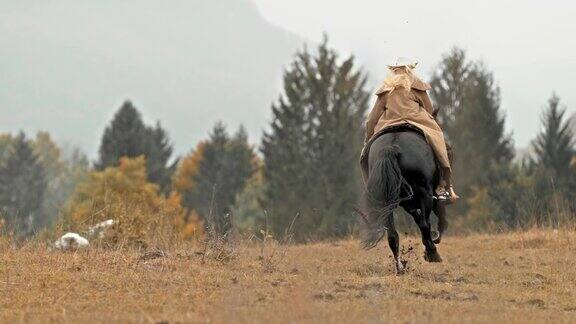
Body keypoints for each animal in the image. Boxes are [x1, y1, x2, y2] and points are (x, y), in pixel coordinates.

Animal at [360, 128, 450, 274]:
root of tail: (390, 148)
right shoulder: (427, 194)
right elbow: (435, 214)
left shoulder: (408, 203)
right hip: (424, 193)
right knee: (425, 223)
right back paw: (432, 253)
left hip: (387, 203)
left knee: (392, 235)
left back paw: (400, 268)